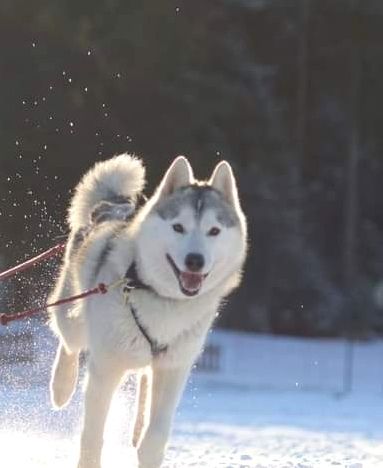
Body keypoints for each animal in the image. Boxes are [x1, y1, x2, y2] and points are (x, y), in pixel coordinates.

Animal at [49, 154, 248, 468]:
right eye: (178, 227)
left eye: (214, 231)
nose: (195, 260)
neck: (162, 297)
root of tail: (113, 205)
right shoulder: (106, 369)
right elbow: (93, 437)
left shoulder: (173, 369)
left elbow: (154, 439)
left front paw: (146, 443)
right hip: (74, 315)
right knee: (69, 342)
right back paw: (62, 387)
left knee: (144, 378)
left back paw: (137, 426)